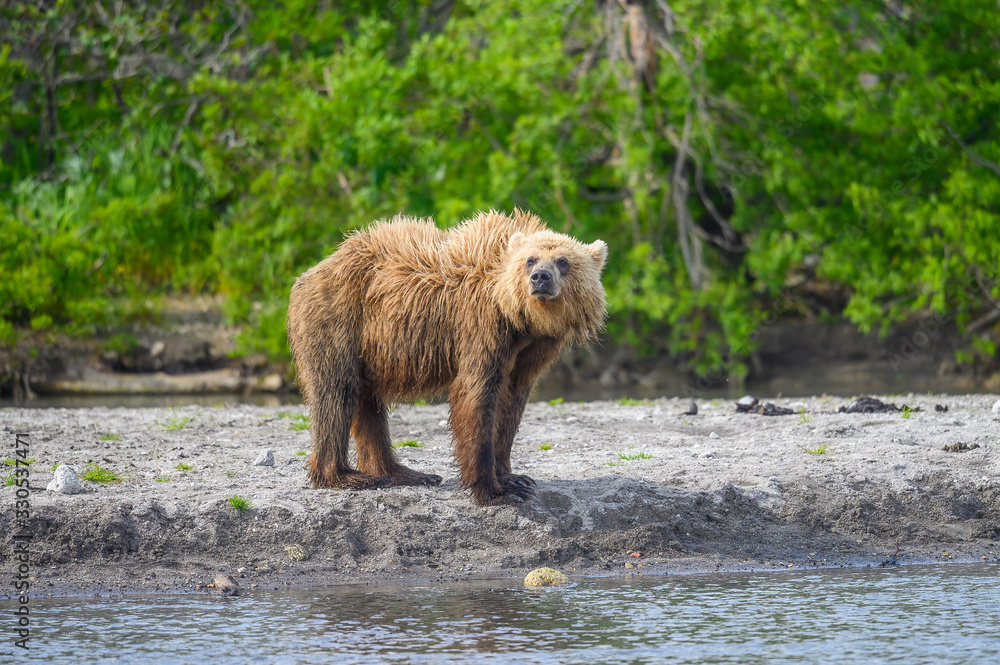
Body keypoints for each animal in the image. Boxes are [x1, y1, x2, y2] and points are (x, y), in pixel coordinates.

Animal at [287, 209, 607, 506]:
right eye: (531, 259)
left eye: (563, 261)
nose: (540, 277)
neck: (519, 318)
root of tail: (313, 270)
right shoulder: (481, 326)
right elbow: (476, 396)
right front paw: (495, 491)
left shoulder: (531, 350)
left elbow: (512, 402)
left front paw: (513, 477)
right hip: (339, 319)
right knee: (336, 393)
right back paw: (345, 476)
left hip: (372, 348)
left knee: (368, 403)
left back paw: (402, 473)